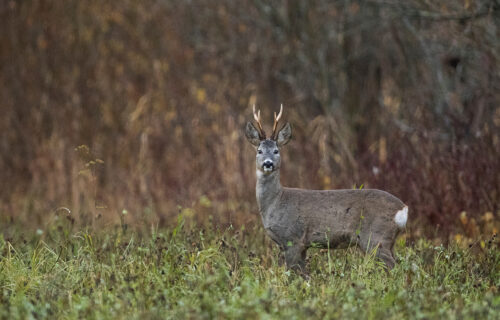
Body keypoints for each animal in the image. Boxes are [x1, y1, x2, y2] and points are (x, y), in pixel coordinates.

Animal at [244, 106, 408, 272]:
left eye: (276, 151)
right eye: (259, 151)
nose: (268, 163)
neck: (275, 202)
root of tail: (403, 208)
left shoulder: (293, 238)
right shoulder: (300, 245)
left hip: (376, 237)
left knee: (393, 266)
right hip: (387, 241)